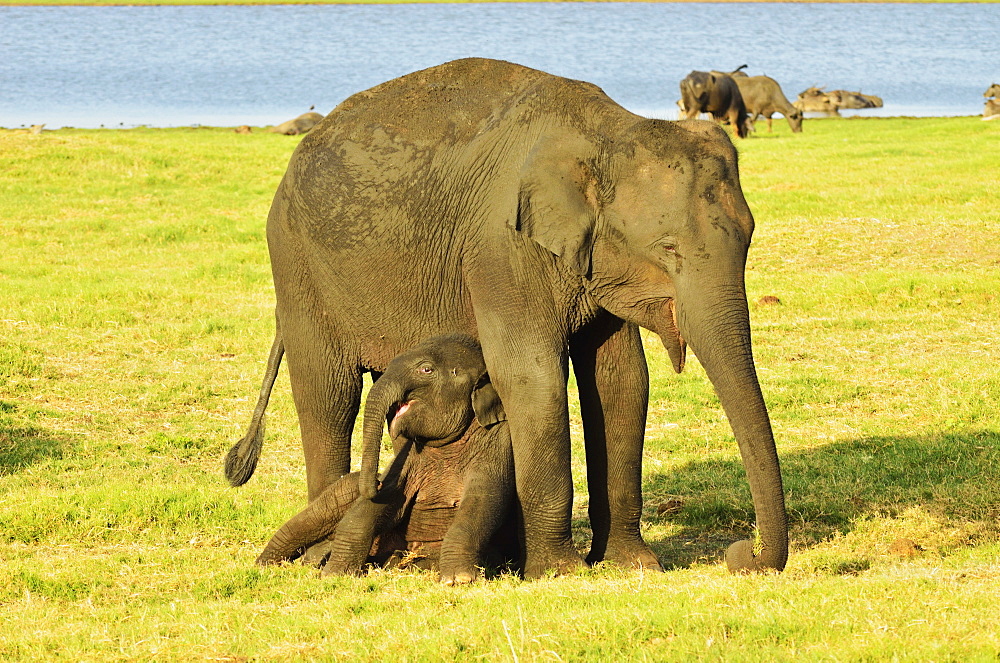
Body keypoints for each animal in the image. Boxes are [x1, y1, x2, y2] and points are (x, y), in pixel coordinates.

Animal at [254, 334, 520, 584]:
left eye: (426, 369)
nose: (377, 479)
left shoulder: (498, 444)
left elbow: (484, 499)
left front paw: (458, 579)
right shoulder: (409, 455)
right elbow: (386, 499)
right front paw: (335, 574)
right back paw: (266, 565)